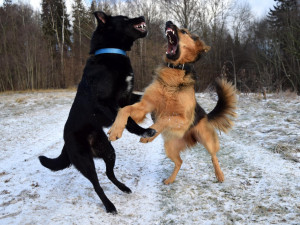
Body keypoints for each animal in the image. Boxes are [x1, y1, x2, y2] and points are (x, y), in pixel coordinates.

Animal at [39, 11, 156, 214]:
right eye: (125, 19)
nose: (142, 16)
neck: (110, 52)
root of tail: (65, 142)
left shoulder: (127, 96)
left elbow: (139, 103)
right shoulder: (105, 102)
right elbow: (126, 118)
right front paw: (143, 131)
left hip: (108, 151)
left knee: (109, 174)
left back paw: (123, 188)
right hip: (86, 162)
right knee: (97, 185)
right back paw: (109, 205)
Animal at [108, 21, 237, 184]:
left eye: (184, 31)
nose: (169, 22)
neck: (174, 72)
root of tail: (206, 115)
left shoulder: (184, 119)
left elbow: (165, 118)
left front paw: (149, 132)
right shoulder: (145, 106)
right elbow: (124, 110)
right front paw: (115, 130)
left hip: (206, 140)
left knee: (213, 156)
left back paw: (219, 175)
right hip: (169, 147)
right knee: (179, 162)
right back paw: (169, 178)